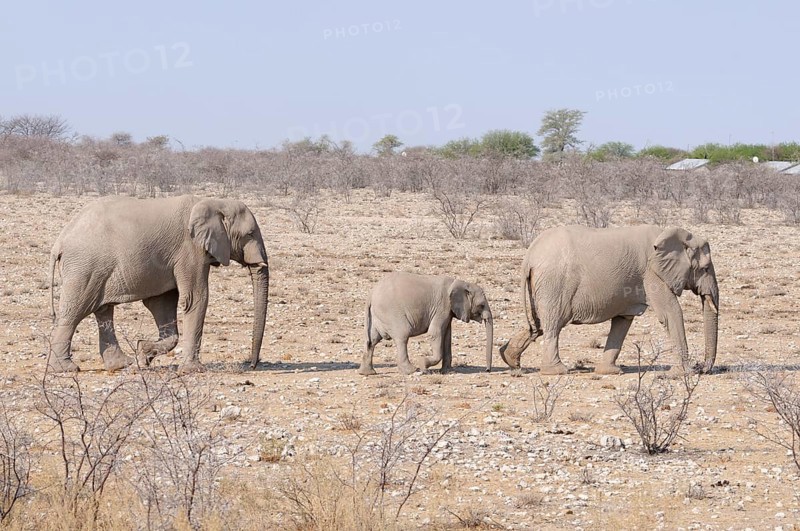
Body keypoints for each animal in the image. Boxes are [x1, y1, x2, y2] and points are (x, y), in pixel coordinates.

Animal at [47, 195, 270, 374]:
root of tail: (59, 241)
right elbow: (196, 299)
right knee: (74, 312)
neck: (213, 202)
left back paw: (122, 365)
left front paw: (143, 352)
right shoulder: (190, 250)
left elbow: (162, 304)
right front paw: (193, 370)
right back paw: (65, 369)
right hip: (85, 267)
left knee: (103, 311)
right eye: (250, 234)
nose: (252, 366)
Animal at [359, 272, 494, 375]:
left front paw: (448, 371)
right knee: (402, 336)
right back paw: (412, 370)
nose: (487, 370)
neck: (459, 282)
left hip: (377, 316)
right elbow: (435, 333)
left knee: (372, 341)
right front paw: (423, 365)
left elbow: (447, 336)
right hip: (391, 312)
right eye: (481, 305)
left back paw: (367, 373)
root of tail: (371, 295)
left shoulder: (448, 312)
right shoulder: (442, 307)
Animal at [499, 225, 719, 375]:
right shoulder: (652, 274)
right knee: (553, 324)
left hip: (541, 285)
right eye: (705, 269)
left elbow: (623, 321)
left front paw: (610, 371)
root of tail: (529, 256)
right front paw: (685, 373)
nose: (701, 367)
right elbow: (670, 313)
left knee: (537, 324)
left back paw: (510, 360)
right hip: (554, 284)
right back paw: (557, 371)